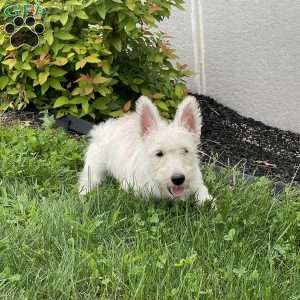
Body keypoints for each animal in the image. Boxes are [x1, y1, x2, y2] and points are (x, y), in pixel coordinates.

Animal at [78, 95, 212, 205]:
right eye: (159, 153)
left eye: (185, 150)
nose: (178, 179)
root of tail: (103, 128)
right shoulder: (133, 188)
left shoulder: (196, 181)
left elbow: (202, 190)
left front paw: (207, 202)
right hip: (95, 166)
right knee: (89, 179)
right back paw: (85, 194)